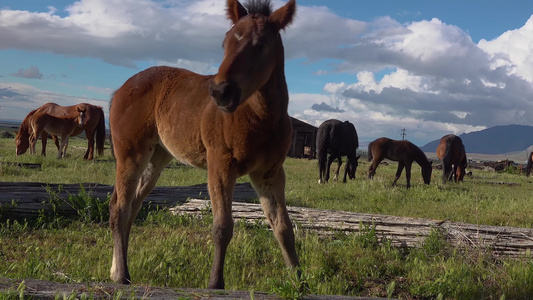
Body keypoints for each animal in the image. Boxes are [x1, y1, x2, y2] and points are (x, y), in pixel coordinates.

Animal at [108, 0, 300, 290]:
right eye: (225, 42)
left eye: (261, 44)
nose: (221, 92)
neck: (260, 118)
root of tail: (121, 89)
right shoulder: (220, 164)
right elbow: (222, 227)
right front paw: (215, 283)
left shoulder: (270, 173)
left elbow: (284, 228)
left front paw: (300, 282)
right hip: (131, 154)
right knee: (120, 209)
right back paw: (121, 276)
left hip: (157, 158)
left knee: (130, 207)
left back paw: (116, 269)